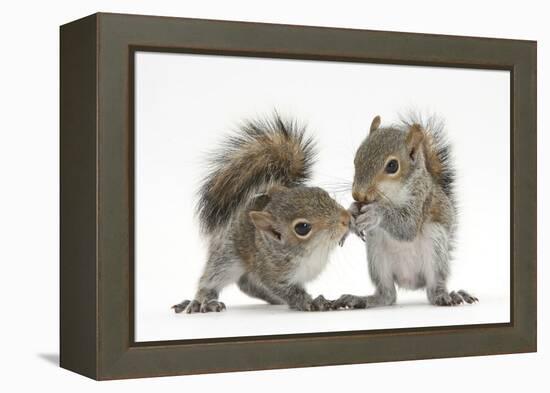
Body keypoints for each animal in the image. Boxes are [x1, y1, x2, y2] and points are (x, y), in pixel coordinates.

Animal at [174, 112, 354, 312]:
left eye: (322, 193)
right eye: (302, 228)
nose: (345, 219)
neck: (312, 252)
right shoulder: (270, 272)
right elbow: (288, 291)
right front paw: (310, 302)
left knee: (248, 284)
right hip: (227, 256)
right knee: (212, 279)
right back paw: (201, 301)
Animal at [332, 115, 478, 308]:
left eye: (392, 166)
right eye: (357, 157)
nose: (358, 194)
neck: (391, 194)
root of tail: (410, 281)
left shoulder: (421, 199)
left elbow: (407, 226)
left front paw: (375, 213)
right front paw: (352, 212)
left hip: (435, 245)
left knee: (432, 289)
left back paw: (446, 296)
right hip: (376, 253)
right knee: (387, 295)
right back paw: (360, 299)